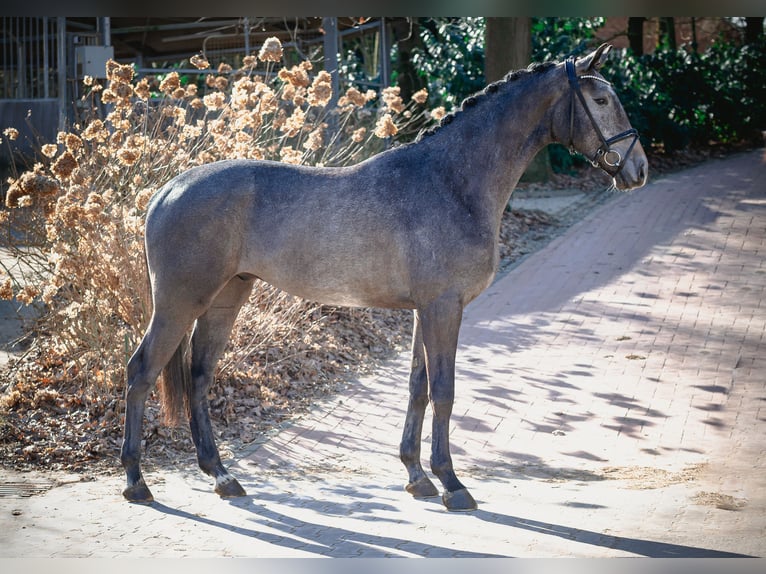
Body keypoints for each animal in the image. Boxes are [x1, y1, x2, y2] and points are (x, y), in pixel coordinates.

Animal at [121, 45, 648, 512]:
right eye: (601, 100)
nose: (639, 169)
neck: (451, 182)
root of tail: (166, 190)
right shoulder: (444, 307)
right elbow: (444, 390)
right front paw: (452, 483)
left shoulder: (425, 311)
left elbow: (418, 387)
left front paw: (417, 477)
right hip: (179, 303)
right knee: (141, 371)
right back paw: (136, 482)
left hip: (226, 298)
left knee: (199, 376)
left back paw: (221, 476)